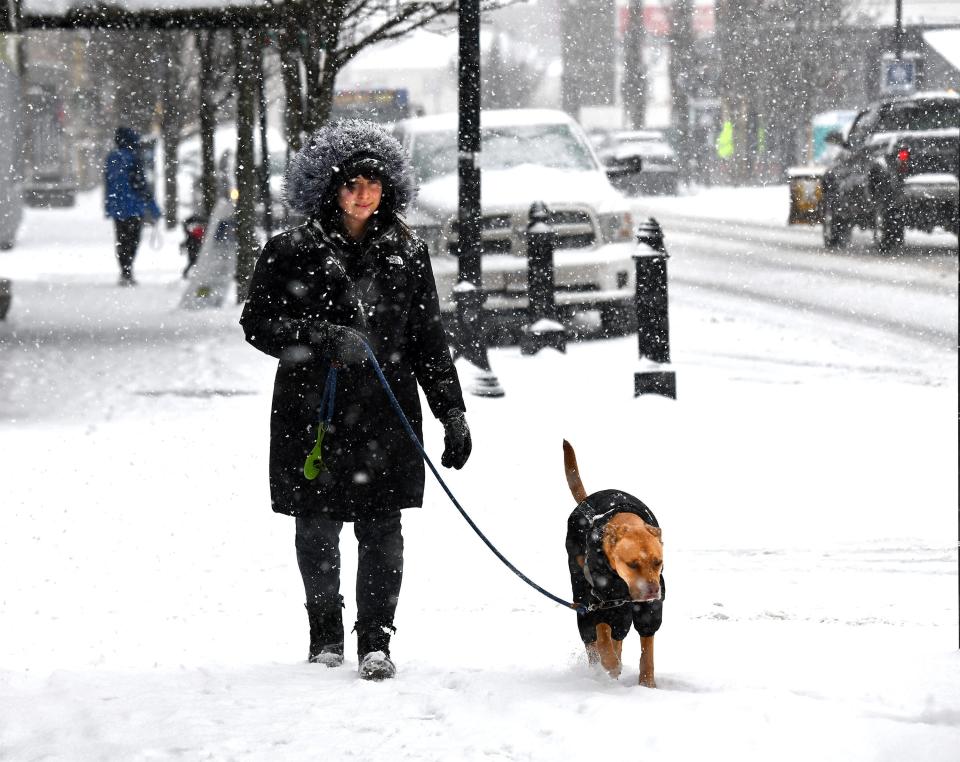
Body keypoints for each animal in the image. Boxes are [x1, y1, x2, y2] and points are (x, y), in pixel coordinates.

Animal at [568, 436, 664, 684]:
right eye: (632, 564)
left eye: (658, 562)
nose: (653, 591)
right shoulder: (603, 598)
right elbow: (602, 635)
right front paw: (609, 663)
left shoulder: (647, 608)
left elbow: (647, 647)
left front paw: (647, 684)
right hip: (581, 590)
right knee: (592, 636)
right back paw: (599, 669)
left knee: (618, 634)